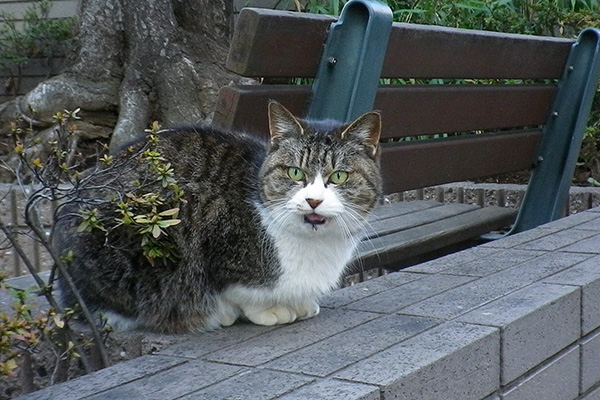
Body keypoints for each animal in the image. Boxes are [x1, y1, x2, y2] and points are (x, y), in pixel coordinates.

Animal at [54, 101, 382, 332]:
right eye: (295, 172)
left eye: (339, 176)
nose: (313, 200)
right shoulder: (217, 236)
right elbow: (239, 292)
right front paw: (267, 310)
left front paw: (300, 304)